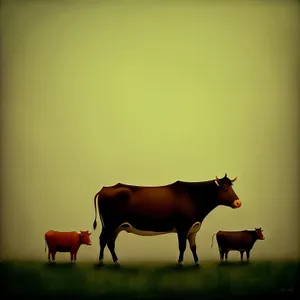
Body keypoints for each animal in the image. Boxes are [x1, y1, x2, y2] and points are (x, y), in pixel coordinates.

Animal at [91, 173, 241, 268]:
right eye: (225, 188)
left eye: (231, 187)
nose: (238, 202)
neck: (193, 197)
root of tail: (105, 188)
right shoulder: (182, 227)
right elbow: (182, 246)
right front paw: (180, 263)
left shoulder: (193, 228)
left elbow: (193, 246)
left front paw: (197, 263)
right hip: (110, 224)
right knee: (103, 239)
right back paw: (104, 262)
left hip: (117, 226)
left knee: (109, 242)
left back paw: (114, 262)